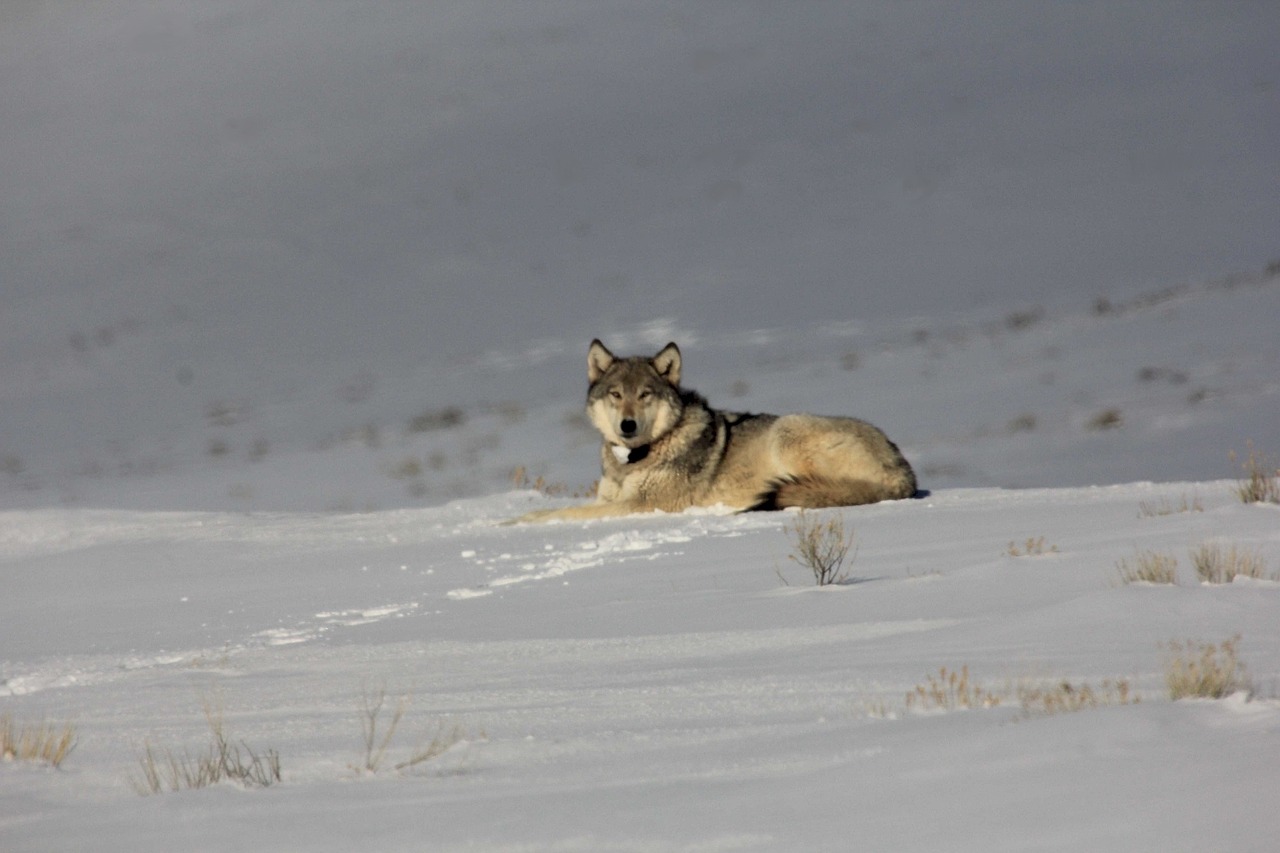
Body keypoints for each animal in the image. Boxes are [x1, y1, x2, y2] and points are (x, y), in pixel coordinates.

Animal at [512, 338, 921, 517]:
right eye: (616, 394)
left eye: (645, 395)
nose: (628, 425)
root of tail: (905, 473)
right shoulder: (608, 499)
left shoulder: (644, 505)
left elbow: (551, 516)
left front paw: (508, 523)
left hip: (788, 430)